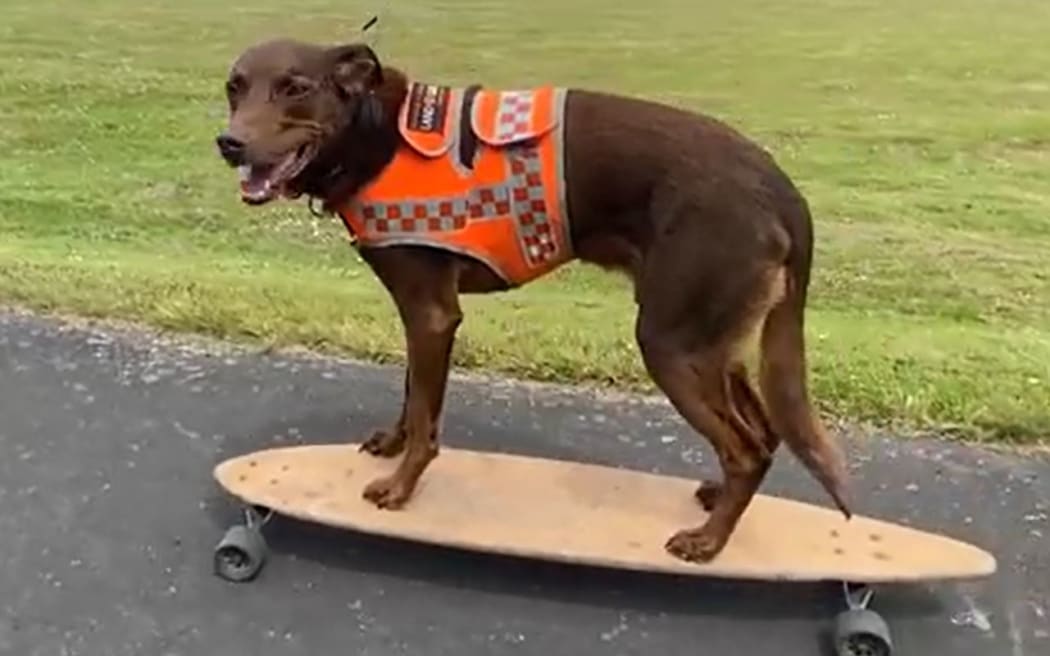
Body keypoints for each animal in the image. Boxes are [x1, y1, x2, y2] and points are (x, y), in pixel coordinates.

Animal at [217, 38, 848, 558]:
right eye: (234, 86)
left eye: (295, 88)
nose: (229, 143)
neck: (378, 135)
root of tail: (782, 187)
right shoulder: (418, 315)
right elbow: (411, 395)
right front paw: (392, 445)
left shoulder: (432, 315)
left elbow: (425, 418)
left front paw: (401, 487)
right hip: (718, 341)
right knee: (763, 434)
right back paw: (718, 502)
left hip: (673, 343)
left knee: (746, 449)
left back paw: (709, 543)